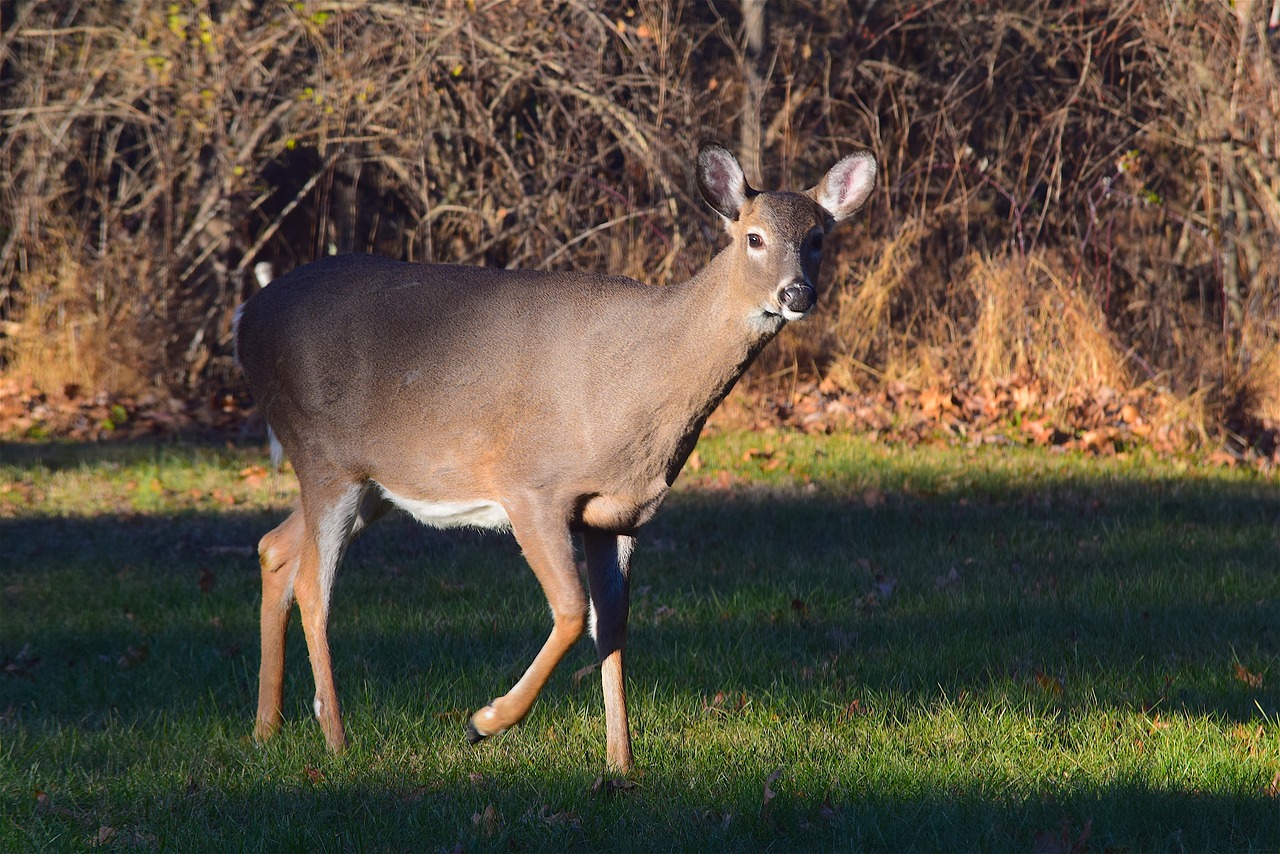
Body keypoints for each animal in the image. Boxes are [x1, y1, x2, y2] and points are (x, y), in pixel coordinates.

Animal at [235, 145, 875, 773]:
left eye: (818, 238)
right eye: (754, 237)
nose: (796, 294)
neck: (641, 393)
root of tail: (245, 322)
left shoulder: (621, 514)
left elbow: (611, 623)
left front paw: (621, 764)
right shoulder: (532, 487)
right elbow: (570, 610)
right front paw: (486, 721)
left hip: (374, 484)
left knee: (274, 548)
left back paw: (266, 729)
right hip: (324, 455)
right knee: (314, 585)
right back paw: (336, 740)